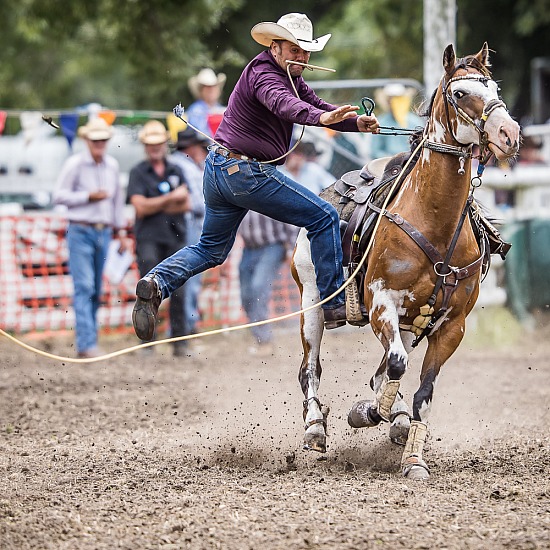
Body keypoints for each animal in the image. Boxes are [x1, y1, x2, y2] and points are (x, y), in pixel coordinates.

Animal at [294, 45, 520, 480]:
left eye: (496, 89)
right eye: (460, 93)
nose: (510, 134)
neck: (434, 220)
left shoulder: (451, 325)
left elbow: (422, 392)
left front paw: (413, 457)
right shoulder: (382, 303)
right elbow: (397, 365)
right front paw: (366, 413)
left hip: (412, 323)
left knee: (380, 371)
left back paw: (395, 421)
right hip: (312, 301)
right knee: (311, 368)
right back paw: (315, 427)